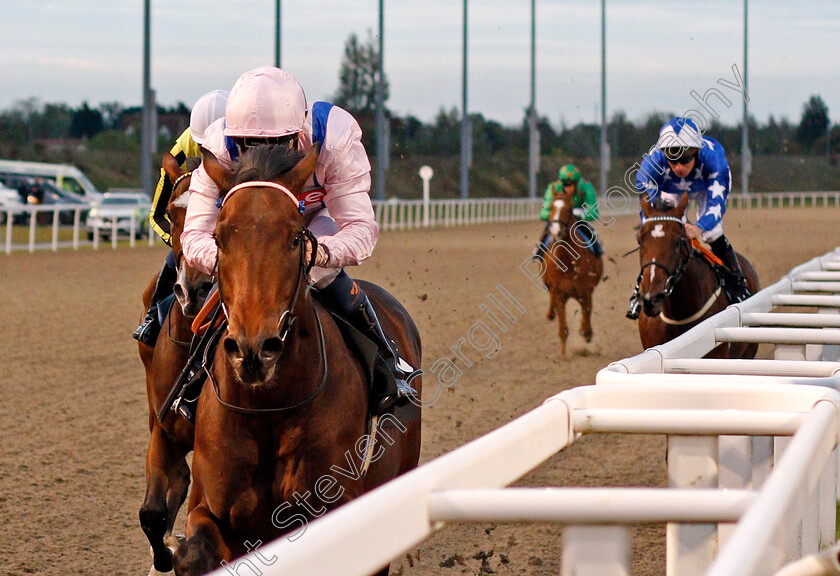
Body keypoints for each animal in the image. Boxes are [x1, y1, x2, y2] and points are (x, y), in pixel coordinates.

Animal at [172, 144, 420, 576]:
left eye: (293, 238)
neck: (268, 408)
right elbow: (194, 552)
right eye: (219, 238)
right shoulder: (211, 507)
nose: (254, 349)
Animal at [540, 184, 600, 356]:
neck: (568, 264)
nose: (555, 231)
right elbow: (563, 329)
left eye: (569, 209)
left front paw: (586, 334)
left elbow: (587, 316)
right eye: (551, 207)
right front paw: (563, 354)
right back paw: (550, 313)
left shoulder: (586, 292)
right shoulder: (558, 293)